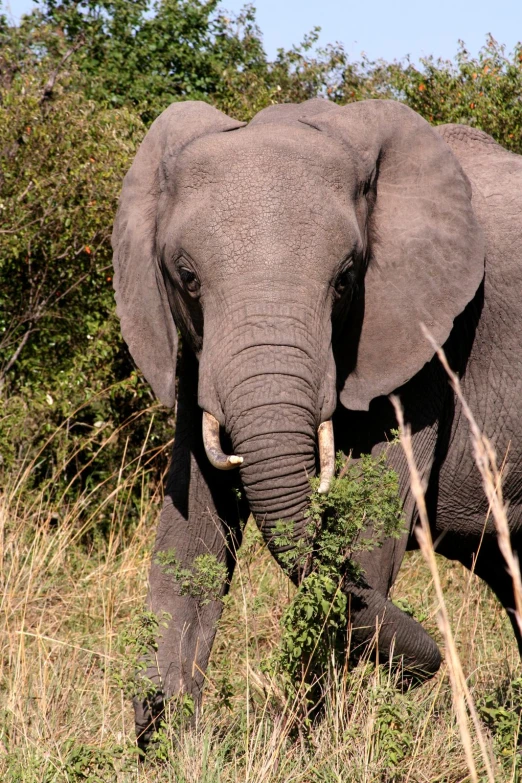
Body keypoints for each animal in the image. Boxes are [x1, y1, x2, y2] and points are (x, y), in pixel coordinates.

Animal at [111, 96, 520, 748]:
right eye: (187, 277)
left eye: (346, 278)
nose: (432, 666)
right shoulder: (195, 354)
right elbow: (192, 520)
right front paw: (171, 742)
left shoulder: (426, 343)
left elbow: (368, 527)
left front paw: (305, 744)